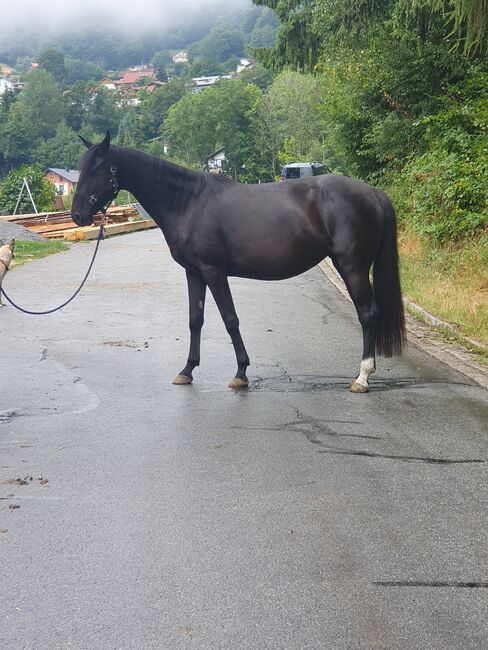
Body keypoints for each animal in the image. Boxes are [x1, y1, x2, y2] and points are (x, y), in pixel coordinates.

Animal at [71, 132, 404, 390]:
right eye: (80, 168)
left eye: (97, 168)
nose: (77, 215)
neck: (188, 202)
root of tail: (372, 192)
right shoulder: (194, 273)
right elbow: (195, 320)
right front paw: (187, 370)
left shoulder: (214, 271)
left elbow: (230, 320)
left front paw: (241, 373)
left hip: (353, 267)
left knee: (368, 314)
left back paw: (362, 377)